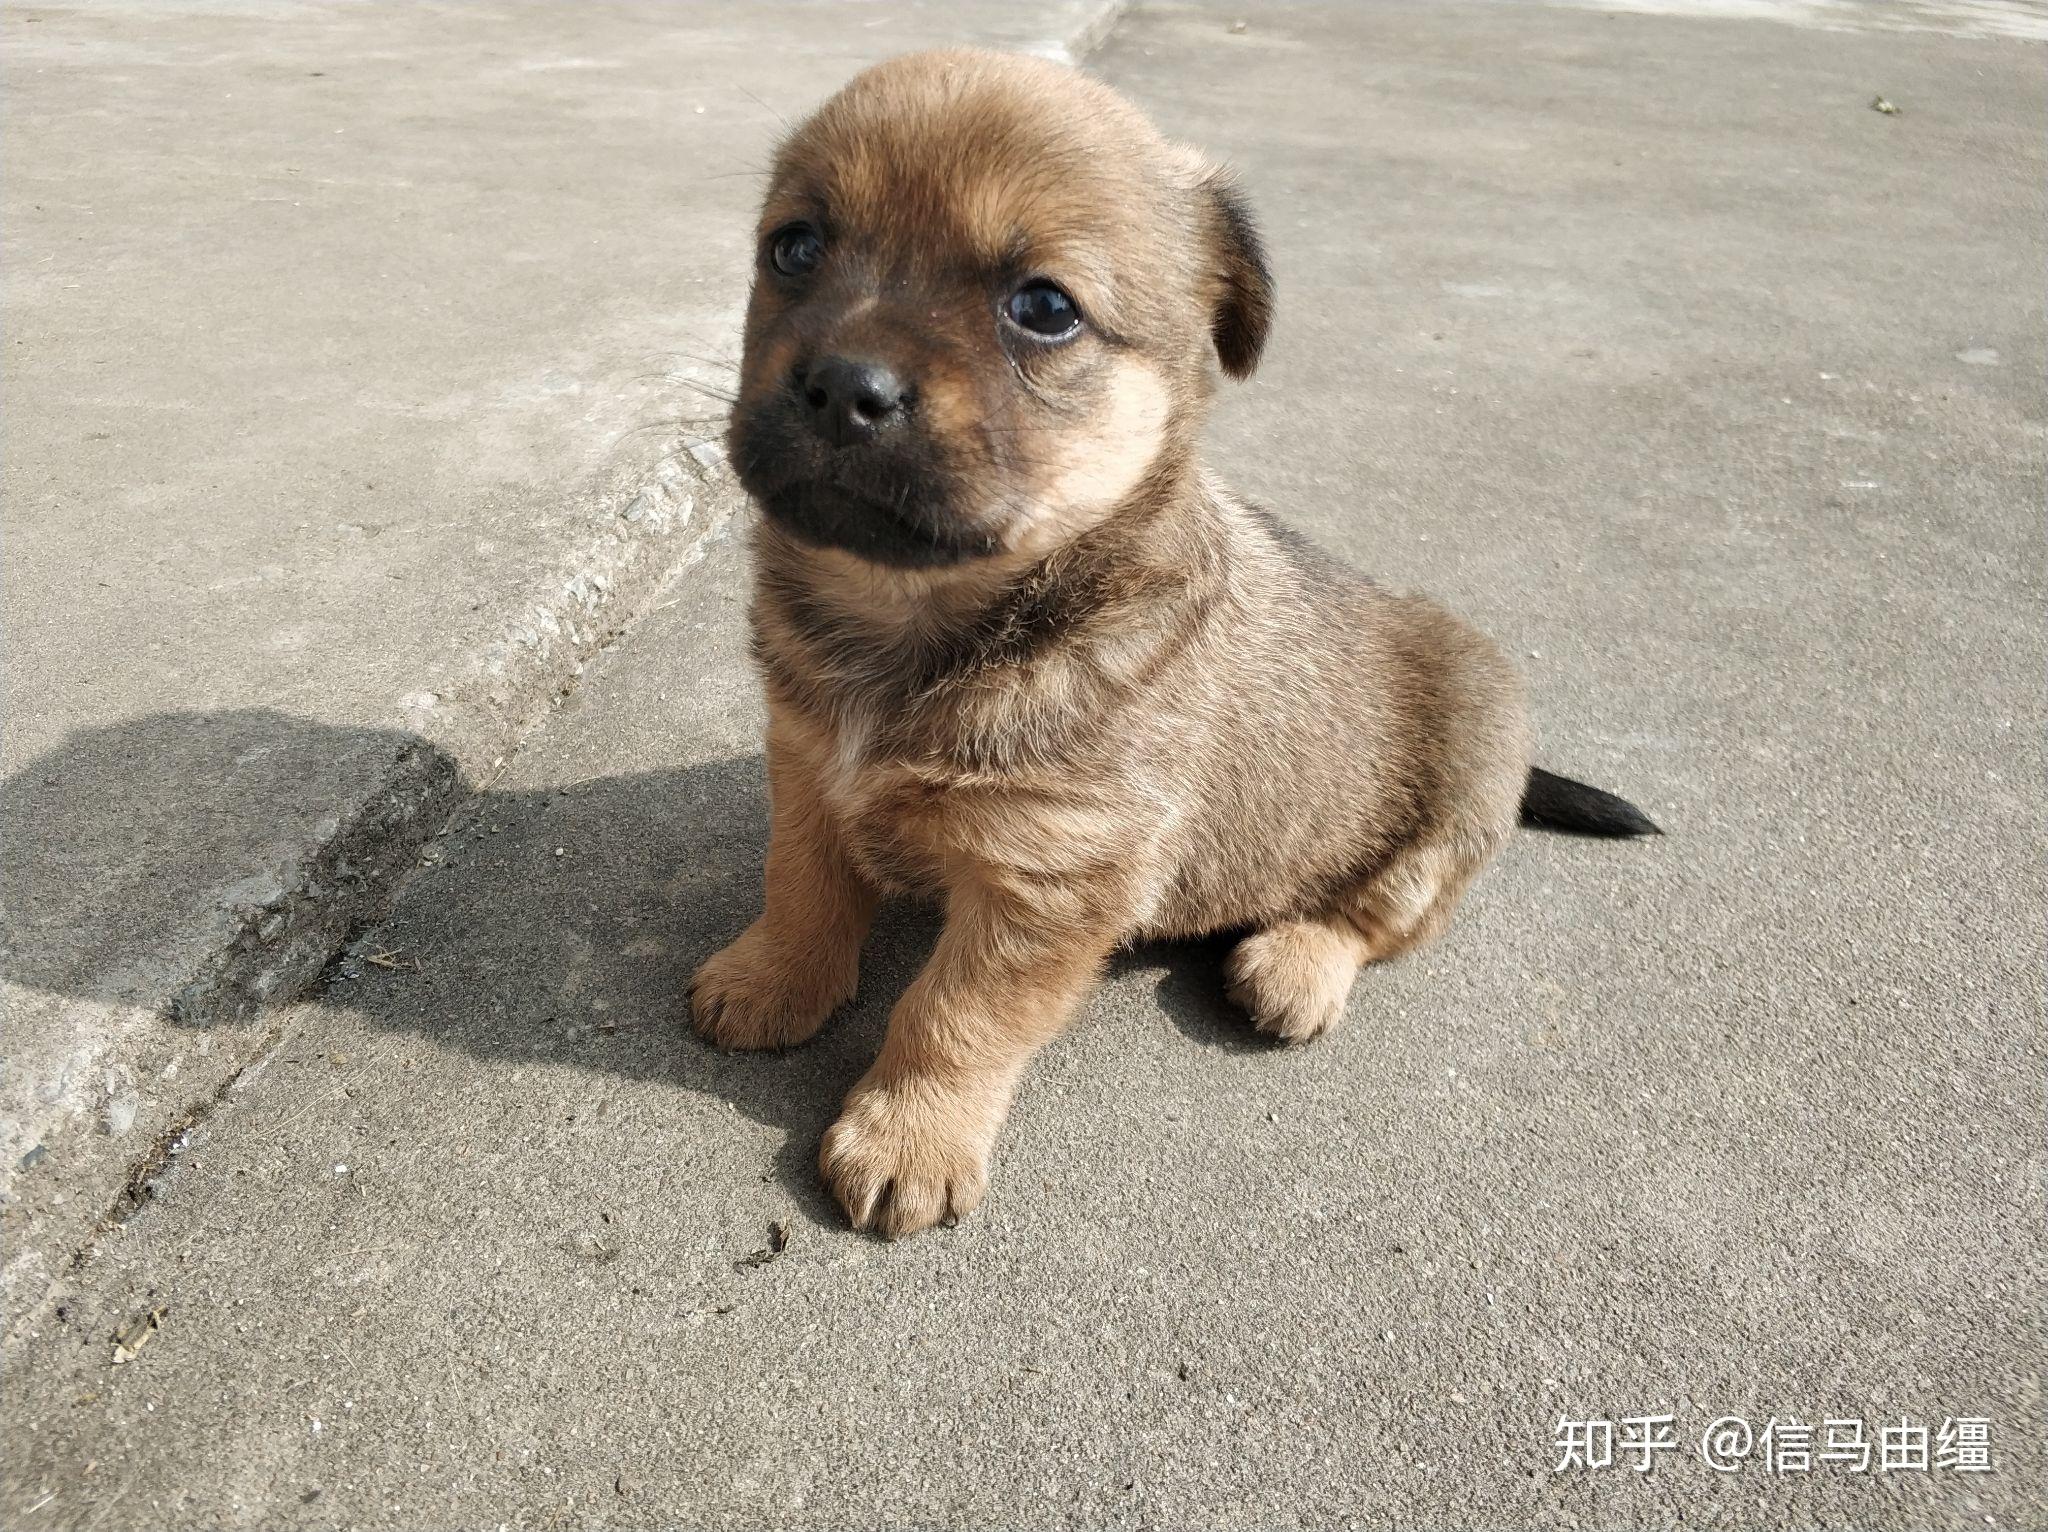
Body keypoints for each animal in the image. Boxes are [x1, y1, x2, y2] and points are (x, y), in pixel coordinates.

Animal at [696, 47, 1654, 1237]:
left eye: (1043, 308)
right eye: (793, 248)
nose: (840, 385)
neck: (915, 619)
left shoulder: (1052, 878)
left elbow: (953, 1014)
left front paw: (909, 1135)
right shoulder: (806, 764)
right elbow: (802, 888)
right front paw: (770, 981)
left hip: (1464, 776)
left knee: (1379, 914)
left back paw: (1294, 963)